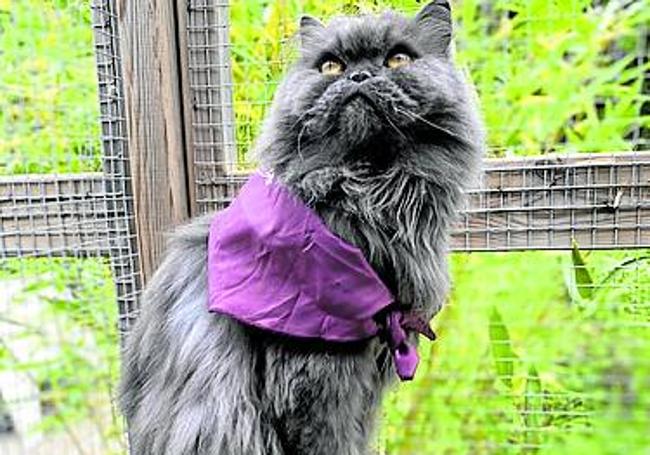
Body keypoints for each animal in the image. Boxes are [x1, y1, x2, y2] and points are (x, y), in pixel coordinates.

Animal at [117, 1, 480, 454]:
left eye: (397, 59)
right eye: (331, 66)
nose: (358, 76)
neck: (364, 194)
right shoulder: (313, 376)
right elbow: (332, 441)